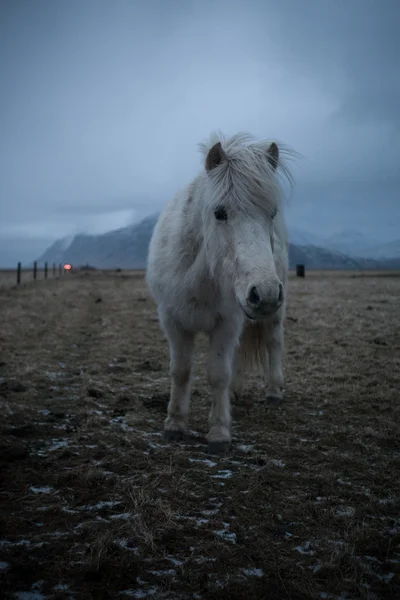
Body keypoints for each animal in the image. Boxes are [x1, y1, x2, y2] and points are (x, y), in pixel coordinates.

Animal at [146, 130, 294, 450]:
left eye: (272, 213)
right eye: (219, 212)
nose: (264, 293)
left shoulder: (226, 323)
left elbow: (218, 374)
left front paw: (218, 432)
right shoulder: (173, 321)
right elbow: (180, 371)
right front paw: (175, 424)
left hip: (274, 310)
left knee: (273, 341)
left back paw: (274, 391)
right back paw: (236, 394)